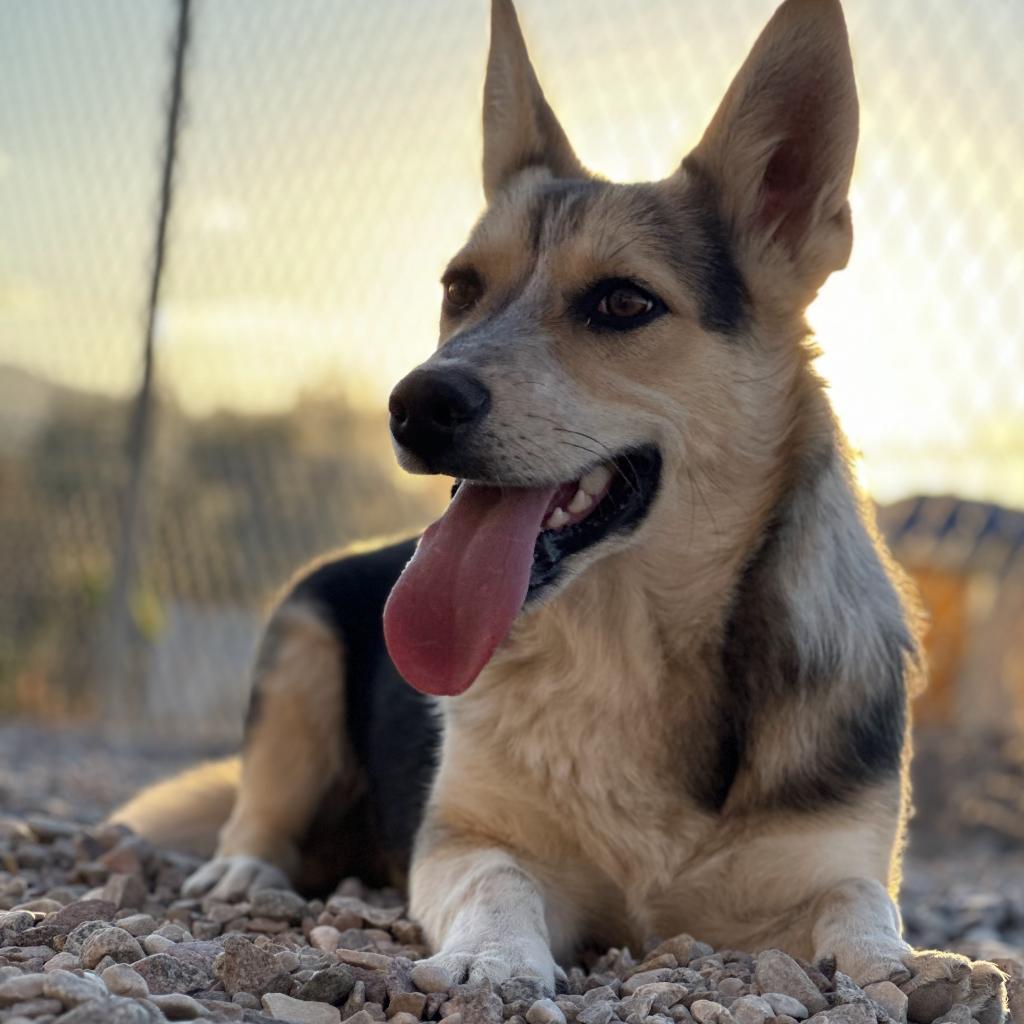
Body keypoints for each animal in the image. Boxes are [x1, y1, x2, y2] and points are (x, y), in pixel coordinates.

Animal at [112, 4, 1007, 1019]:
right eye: (460, 288)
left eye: (622, 302)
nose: (415, 404)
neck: (627, 649)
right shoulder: (461, 841)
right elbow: (497, 881)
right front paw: (493, 961)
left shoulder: (827, 865)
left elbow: (863, 905)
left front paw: (919, 965)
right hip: (299, 655)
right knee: (256, 808)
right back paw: (243, 870)